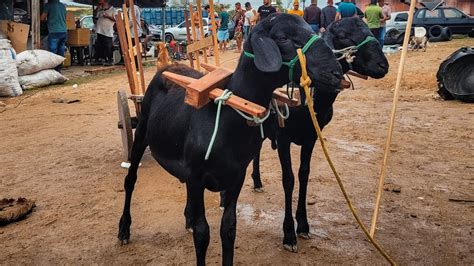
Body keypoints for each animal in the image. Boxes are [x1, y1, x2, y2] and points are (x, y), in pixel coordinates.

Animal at [117, 13, 342, 264]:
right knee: (130, 180)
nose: (336, 73)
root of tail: (168, 66)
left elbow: (229, 229)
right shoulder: (196, 176)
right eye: (284, 37)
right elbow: (203, 233)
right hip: (141, 132)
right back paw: (124, 229)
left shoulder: (236, 177)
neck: (227, 118)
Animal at [248, 17, 388, 252]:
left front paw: (303, 225)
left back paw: (257, 182)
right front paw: (289, 234)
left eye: (370, 29)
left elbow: (304, 174)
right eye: (344, 36)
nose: (383, 65)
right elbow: (288, 179)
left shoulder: (312, 137)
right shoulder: (283, 138)